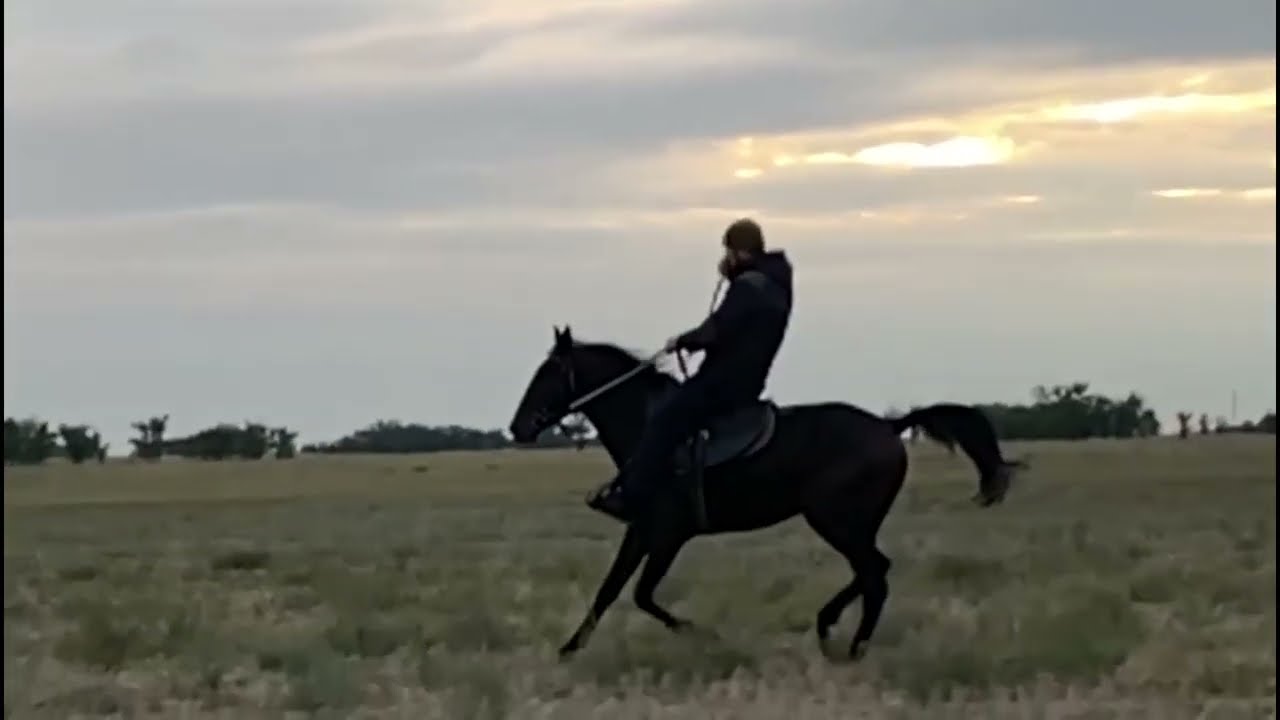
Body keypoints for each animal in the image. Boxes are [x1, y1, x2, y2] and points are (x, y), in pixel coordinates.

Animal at [508, 325, 1023, 660]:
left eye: (547, 374)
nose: (518, 428)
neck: (649, 430)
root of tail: (891, 427)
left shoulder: (669, 535)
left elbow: (641, 595)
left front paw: (699, 633)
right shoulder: (641, 530)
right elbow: (609, 590)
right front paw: (569, 649)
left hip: (836, 521)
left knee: (875, 576)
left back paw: (850, 645)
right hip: (848, 524)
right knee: (876, 569)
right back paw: (829, 624)